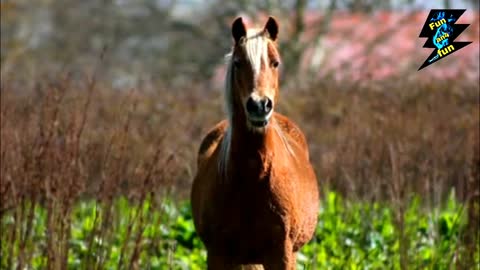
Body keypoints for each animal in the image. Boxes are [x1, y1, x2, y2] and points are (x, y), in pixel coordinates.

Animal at [190, 16, 318, 270]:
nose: (259, 105)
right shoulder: (218, 254)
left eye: (275, 62)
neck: (253, 176)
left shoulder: (282, 254)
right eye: (238, 62)